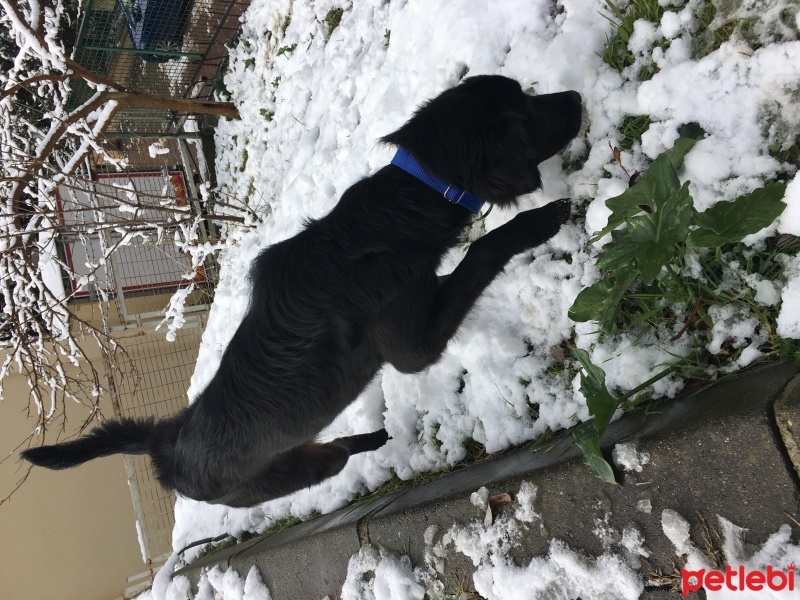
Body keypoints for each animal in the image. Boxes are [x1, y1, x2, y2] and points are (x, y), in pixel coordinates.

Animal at [21, 75, 580, 506]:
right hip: (296, 471)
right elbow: (480, 252)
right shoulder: (411, 348)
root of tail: (167, 443)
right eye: (523, 114)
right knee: (336, 456)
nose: (575, 96)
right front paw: (537, 222)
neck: (388, 219)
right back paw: (371, 438)